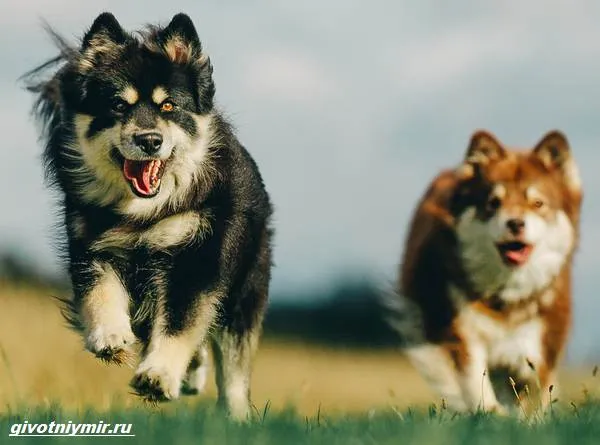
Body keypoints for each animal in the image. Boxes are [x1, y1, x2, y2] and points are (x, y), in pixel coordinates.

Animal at [24, 11, 274, 420]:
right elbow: (100, 293)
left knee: (234, 366)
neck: (143, 213)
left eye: (168, 106)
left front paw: (159, 376)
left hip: (245, 289)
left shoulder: (196, 258)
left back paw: (236, 415)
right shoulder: (93, 246)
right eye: (118, 106)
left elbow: (181, 323)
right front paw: (109, 337)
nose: (150, 140)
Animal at [386, 130, 584, 414]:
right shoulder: (459, 331)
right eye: (493, 202)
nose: (515, 223)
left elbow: (533, 390)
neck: (505, 293)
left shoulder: (540, 342)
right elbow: (474, 382)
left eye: (537, 203)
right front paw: (492, 414)